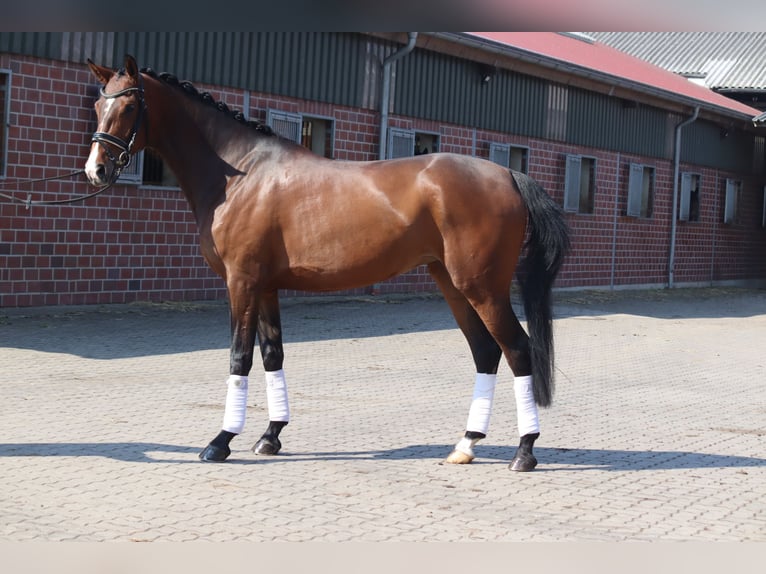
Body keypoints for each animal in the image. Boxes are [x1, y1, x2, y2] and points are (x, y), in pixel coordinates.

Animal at [84, 55, 570, 471]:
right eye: (97, 104)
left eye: (129, 106)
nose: (96, 170)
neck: (242, 173)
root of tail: (508, 174)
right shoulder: (266, 286)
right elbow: (273, 354)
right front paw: (270, 436)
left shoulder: (241, 282)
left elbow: (239, 357)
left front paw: (220, 442)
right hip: (452, 283)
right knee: (486, 352)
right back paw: (466, 444)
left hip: (482, 287)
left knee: (517, 349)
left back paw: (524, 452)